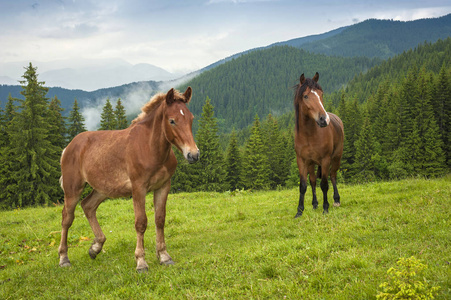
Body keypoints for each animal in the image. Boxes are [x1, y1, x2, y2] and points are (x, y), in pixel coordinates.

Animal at [57, 86, 199, 272]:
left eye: (191, 118)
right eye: (172, 121)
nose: (193, 155)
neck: (149, 147)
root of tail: (68, 147)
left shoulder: (163, 186)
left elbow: (160, 220)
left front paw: (164, 256)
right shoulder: (138, 188)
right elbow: (141, 222)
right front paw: (141, 262)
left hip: (102, 189)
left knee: (88, 206)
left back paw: (95, 247)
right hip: (72, 189)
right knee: (67, 218)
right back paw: (64, 258)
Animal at [294, 72, 344, 218]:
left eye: (321, 94)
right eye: (305, 96)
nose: (324, 119)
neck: (309, 135)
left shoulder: (325, 160)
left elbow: (324, 184)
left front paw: (325, 208)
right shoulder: (302, 161)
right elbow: (304, 185)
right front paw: (299, 211)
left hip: (336, 158)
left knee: (332, 176)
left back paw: (336, 200)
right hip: (311, 164)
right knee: (313, 181)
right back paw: (315, 203)